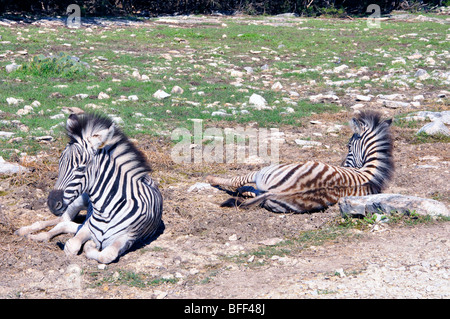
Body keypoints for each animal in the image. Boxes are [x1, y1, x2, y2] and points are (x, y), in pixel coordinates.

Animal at [16, 114, 163, 264]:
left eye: (81, 168)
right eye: (59, 163)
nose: (52, 203)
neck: (105, 211)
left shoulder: (128, 237)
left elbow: (106, 255)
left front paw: (90, 246)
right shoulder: (87, 228)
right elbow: (72, 245)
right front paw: (87, 244)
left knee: (64, 223)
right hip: (76, 202)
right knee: (61, 221)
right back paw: (27, 231)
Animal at [207, 111, 394, 214]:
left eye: (348, 146)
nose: (344, 166)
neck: (370, 172)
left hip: (267, 171)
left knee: (238, 181)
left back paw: (211, 179)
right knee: (249, 192)